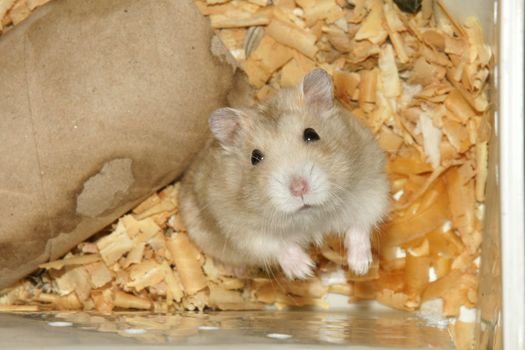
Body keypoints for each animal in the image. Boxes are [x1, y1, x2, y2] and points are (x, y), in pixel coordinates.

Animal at [178, 68, 386, 278]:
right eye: (254, 157)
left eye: (311, 134)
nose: (299, 189)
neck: (310, 218)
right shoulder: (241, 230)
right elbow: (277, 245)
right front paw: (305, 270)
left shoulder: (372, 184)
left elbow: (360, 225)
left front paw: (360, 267)